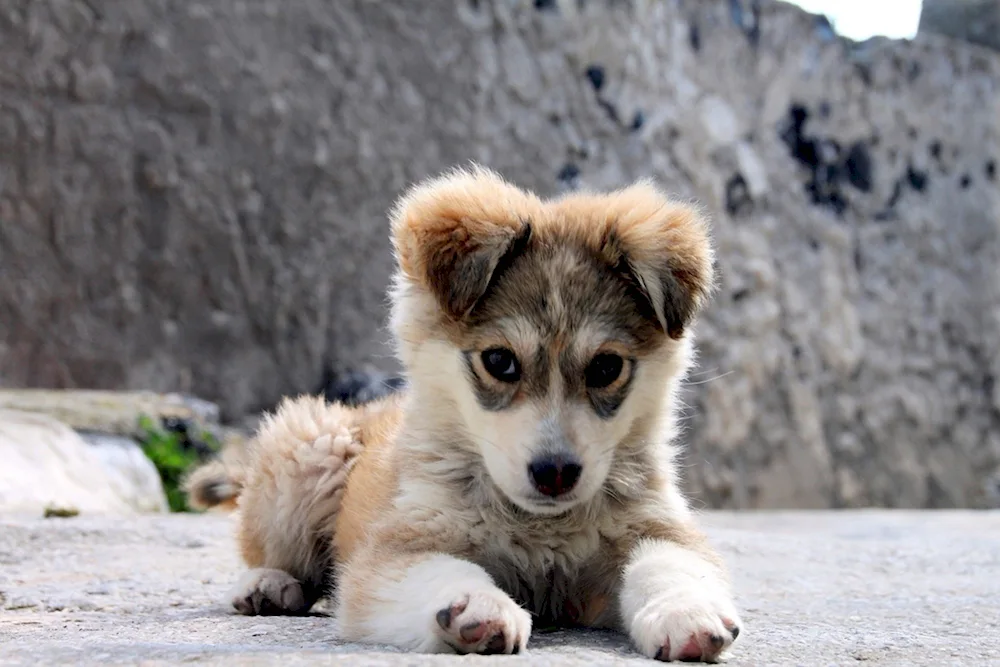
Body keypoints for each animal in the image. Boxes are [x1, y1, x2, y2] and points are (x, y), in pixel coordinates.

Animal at [186, 166, 744, 664]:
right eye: (499, 361)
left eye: (606, 367)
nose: (555, 473)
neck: (539, 528)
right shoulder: (396, 550)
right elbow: (442, 570)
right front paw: (475, 606)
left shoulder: (654, 529)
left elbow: (670, 565)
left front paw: (686, 611)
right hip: (309, 448)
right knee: (268, 550)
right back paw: (268, 583)